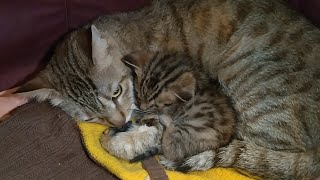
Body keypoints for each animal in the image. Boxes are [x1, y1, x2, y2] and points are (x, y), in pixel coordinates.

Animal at [101, 51, 236, 163]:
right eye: (138, 94)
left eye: (154, 104)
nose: (143, 108)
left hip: (189, 128)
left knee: (171, 151)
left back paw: (165, 120)